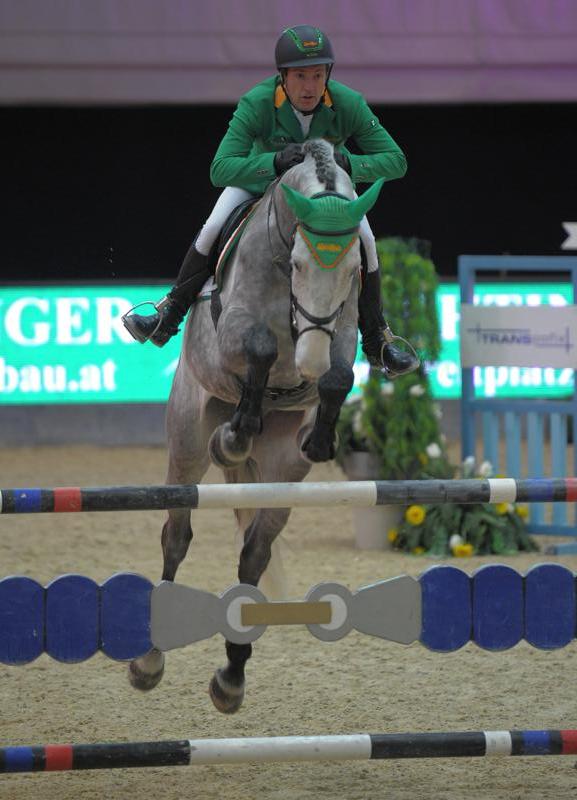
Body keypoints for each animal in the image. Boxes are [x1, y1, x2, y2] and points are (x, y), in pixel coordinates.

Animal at [129, 138, 382, 712]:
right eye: (296, 263)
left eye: (354, 268)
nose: (307, 361)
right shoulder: (233, 338)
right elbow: (261, 348)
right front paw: (236, 433)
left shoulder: (339, 338)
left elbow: (339, 375)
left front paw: (321, 436)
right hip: (187, 442)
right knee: (177, 535)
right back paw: (150, 662)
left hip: (282, 474)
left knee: (254, 554)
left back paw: (232, 676)